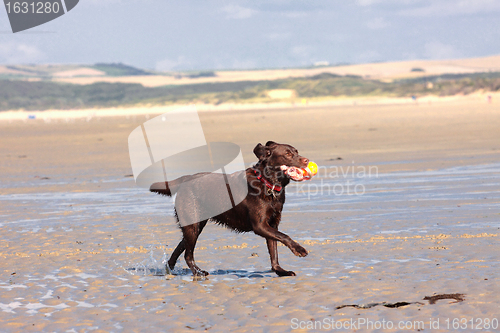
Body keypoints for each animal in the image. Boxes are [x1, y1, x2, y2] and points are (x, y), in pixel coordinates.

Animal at [150, 140, 310, 274]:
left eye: (296, 151)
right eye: (288, 154)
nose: (307, 160)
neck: (266, 182)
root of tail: (185, 179)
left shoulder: (272, 224)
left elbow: (274, 251)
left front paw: (280, 271)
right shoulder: (260, 226)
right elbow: (284, 236)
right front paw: (299, 249)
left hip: (196, 225)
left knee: (180, 248)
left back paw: (171, 269)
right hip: (192, 225)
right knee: (188, 255)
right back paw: (198, 273)